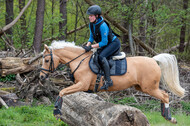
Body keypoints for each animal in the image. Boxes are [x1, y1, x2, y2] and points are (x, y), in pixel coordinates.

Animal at [39, 40, 185, 124]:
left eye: (46, 60)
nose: (41, 77)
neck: (80, 61)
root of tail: (153, 59)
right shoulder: (81, 86)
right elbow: (64, 92)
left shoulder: (82, 85)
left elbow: (62, 91)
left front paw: (57, 111)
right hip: (142, 87)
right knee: (164, 95)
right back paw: (166, 116)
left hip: (149, 88)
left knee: (165, 95)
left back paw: (169, 118)